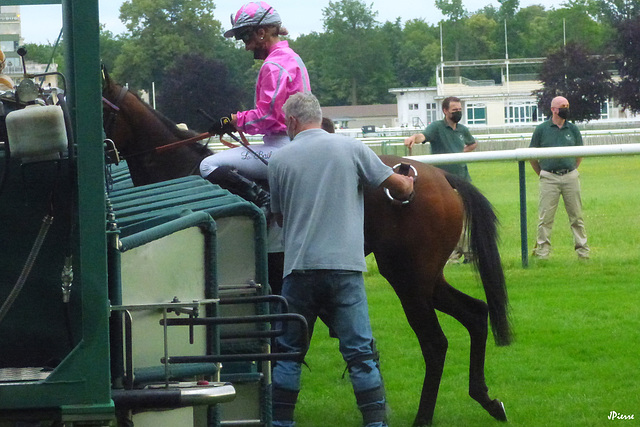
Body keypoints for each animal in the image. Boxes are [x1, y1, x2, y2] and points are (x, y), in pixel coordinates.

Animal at [102, 72, 512, 426]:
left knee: (435, 342)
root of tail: (444, 176)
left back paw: (425, 417)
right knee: (476, 314)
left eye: (102, 109)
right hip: (425, 276)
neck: (181, 165)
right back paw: (488, 399)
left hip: (408, 277)